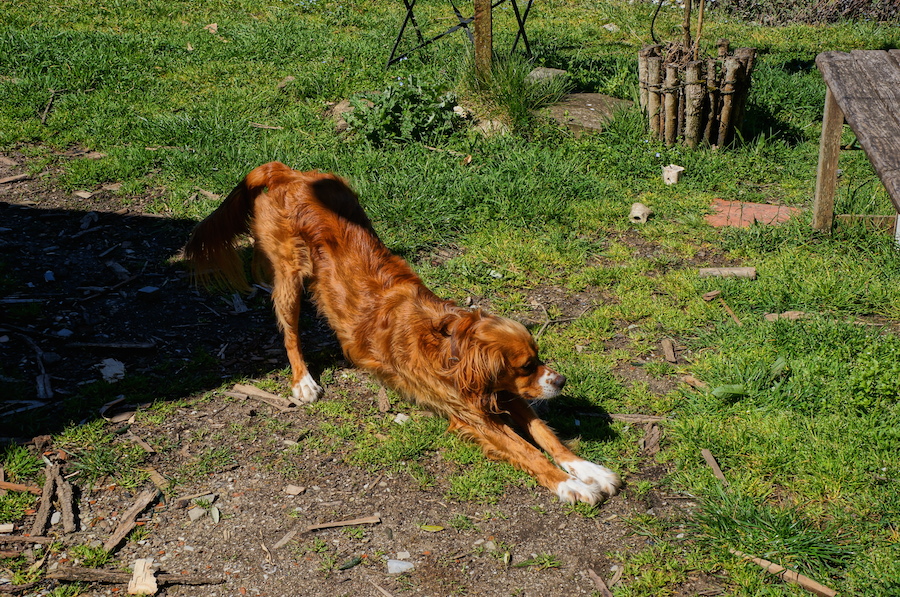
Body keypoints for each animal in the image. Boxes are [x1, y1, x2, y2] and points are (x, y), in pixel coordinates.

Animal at [183, 163, 620, 502]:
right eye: (526, 365)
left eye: (538, 359)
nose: (561, 380)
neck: (451, 345)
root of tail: (287, 173)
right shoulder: (473, 415)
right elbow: (528, 451)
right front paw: (569, 485)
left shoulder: (500, 394)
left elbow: (546, 435)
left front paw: (588, 469)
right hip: (288, 277)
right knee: (289, 334)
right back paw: (303, 381)